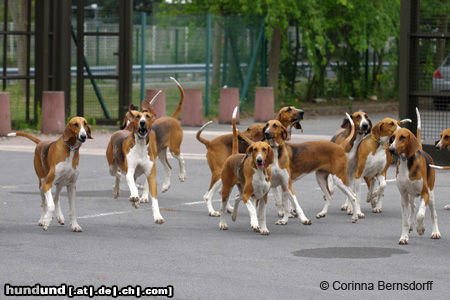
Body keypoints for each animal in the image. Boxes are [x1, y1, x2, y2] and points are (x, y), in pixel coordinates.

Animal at [388, 109, 442, 245]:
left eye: (402, 137)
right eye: (392, 138)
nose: (391, 149)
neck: (406, 163)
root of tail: (420, 148)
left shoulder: (425, 193)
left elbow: (421, 215)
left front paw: (420, 228)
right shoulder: (403, 196)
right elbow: (405, 220)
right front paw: (404, 236)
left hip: (431, 194)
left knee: (433, 214)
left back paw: (435, 232)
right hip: (410, 195)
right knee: (413, 207)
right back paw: (411, 225)